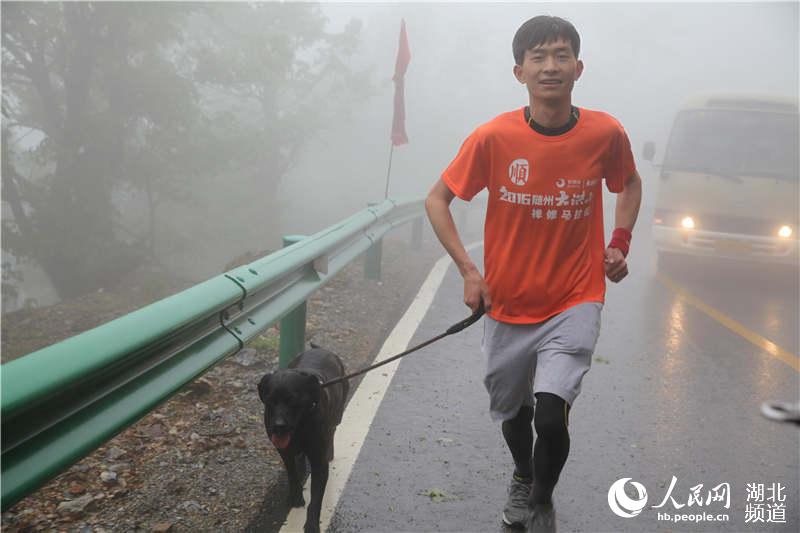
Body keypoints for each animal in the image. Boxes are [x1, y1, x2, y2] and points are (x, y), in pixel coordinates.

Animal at [258, 344, 348, 532]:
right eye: (270, 400)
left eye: (293, 400)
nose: (278, 426)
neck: (301, 427)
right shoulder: (284, 451)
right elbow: (291, 472)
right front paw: (295, 496)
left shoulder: (319, 463)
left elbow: (316, 499)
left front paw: (312, 525)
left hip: (337, 416)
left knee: (332, 431)